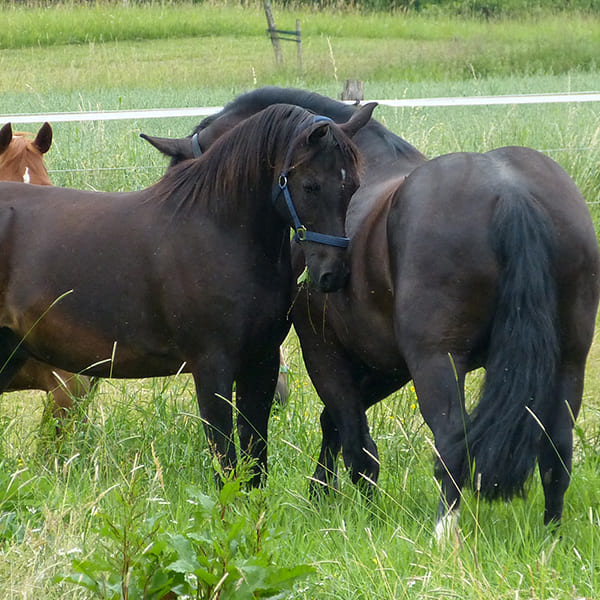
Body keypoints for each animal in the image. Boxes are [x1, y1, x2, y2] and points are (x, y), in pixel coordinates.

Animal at [142, 86, 600, 532]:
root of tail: (510, 192)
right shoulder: (388, 365)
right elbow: (338, 424)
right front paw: (322, 493)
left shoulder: (325, 352)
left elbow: (355, 443)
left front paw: (362, 514)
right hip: (567, 361)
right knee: (557, 451)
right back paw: (549, 536)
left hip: (437, 362)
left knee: (452, 443)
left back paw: (442, 535)